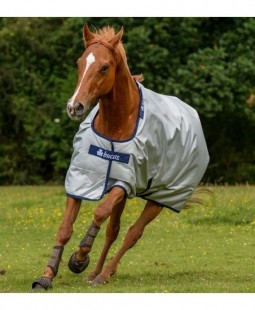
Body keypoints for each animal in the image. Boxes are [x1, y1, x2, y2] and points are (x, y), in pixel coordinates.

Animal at [31, 24, 209, 290]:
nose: (75, 107)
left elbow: (99, 212)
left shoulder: (124, 183)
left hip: (161, 198)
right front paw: (47, 275)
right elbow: (65, 228)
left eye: (105, 67)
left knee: (132, 233)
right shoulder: (81, 178)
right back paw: (95, 273)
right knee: (113, 231)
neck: (114, 128)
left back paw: (105, 273)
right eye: (79, 62)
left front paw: (79, 258)